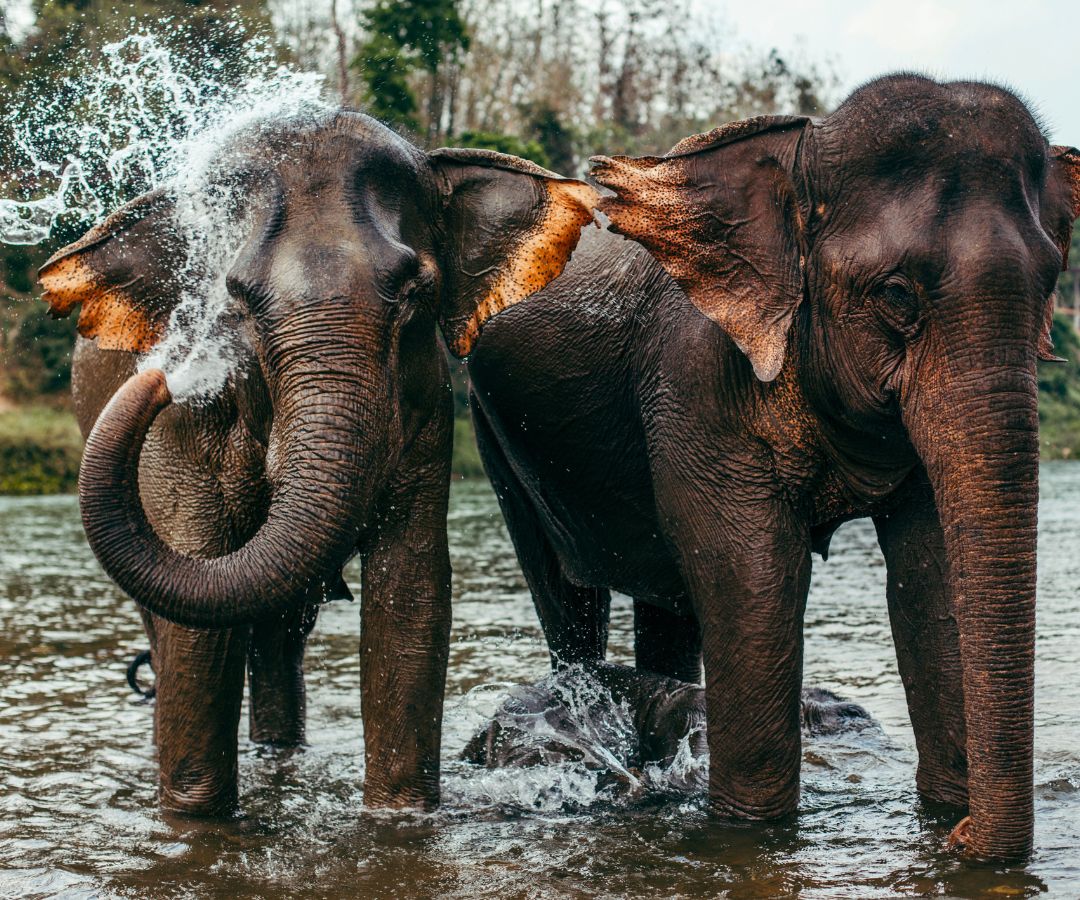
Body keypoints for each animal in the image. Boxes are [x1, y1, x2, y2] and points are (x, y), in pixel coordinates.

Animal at [38, 110, 600, 812]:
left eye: (415, 292)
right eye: (236, 301)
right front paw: (195, 819)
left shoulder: (425, 408)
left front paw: (399, 816)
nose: (164, 377)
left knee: (279, 635)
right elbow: (196, 623)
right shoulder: (182, 431)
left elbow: (410, 596)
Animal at [462, 73, 1080, 860]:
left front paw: (944, 813)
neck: (802, 152)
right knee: (568, 595)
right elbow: (754, 575)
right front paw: (754, 833)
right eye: (896, 295)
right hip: (493, 431)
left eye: (1051, 282)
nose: (965, 839)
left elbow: (930, 572)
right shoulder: (696, 377)